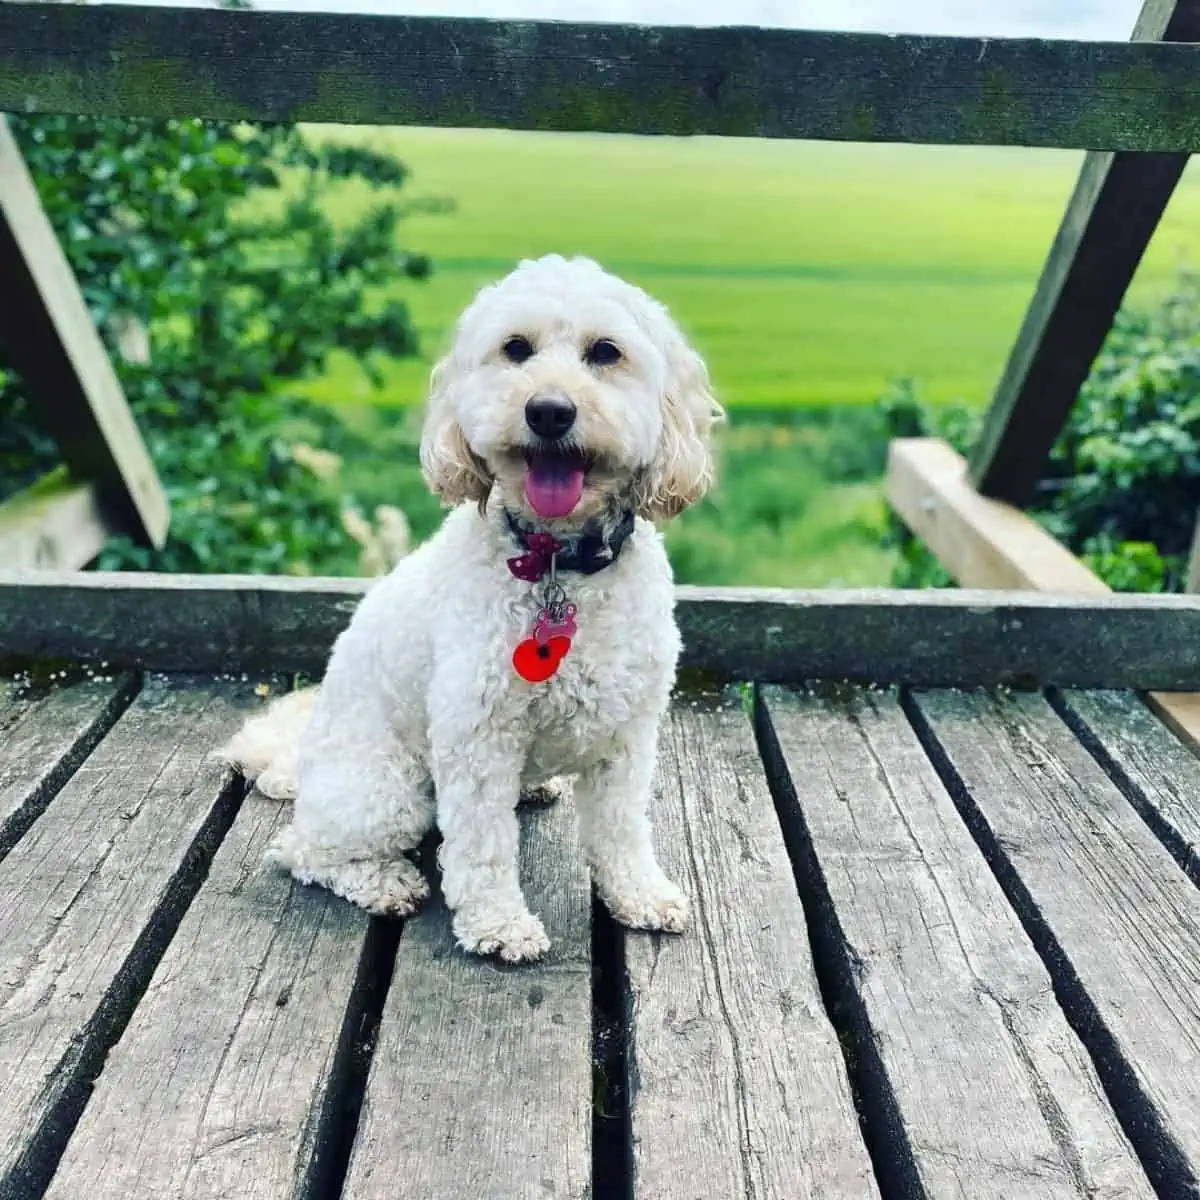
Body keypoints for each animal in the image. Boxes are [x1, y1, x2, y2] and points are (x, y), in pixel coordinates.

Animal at [222, 255, 724, 964]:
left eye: (606, 352)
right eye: (515, 349)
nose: (549, 411)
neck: (558, 563)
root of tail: (300, 765)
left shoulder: (626, 733)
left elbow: (622, 828)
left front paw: (640, 895)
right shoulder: (477, 734)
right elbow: (483, 846)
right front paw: (499, 925)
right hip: (388, 790)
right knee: (302, 850)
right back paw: (384, 883)